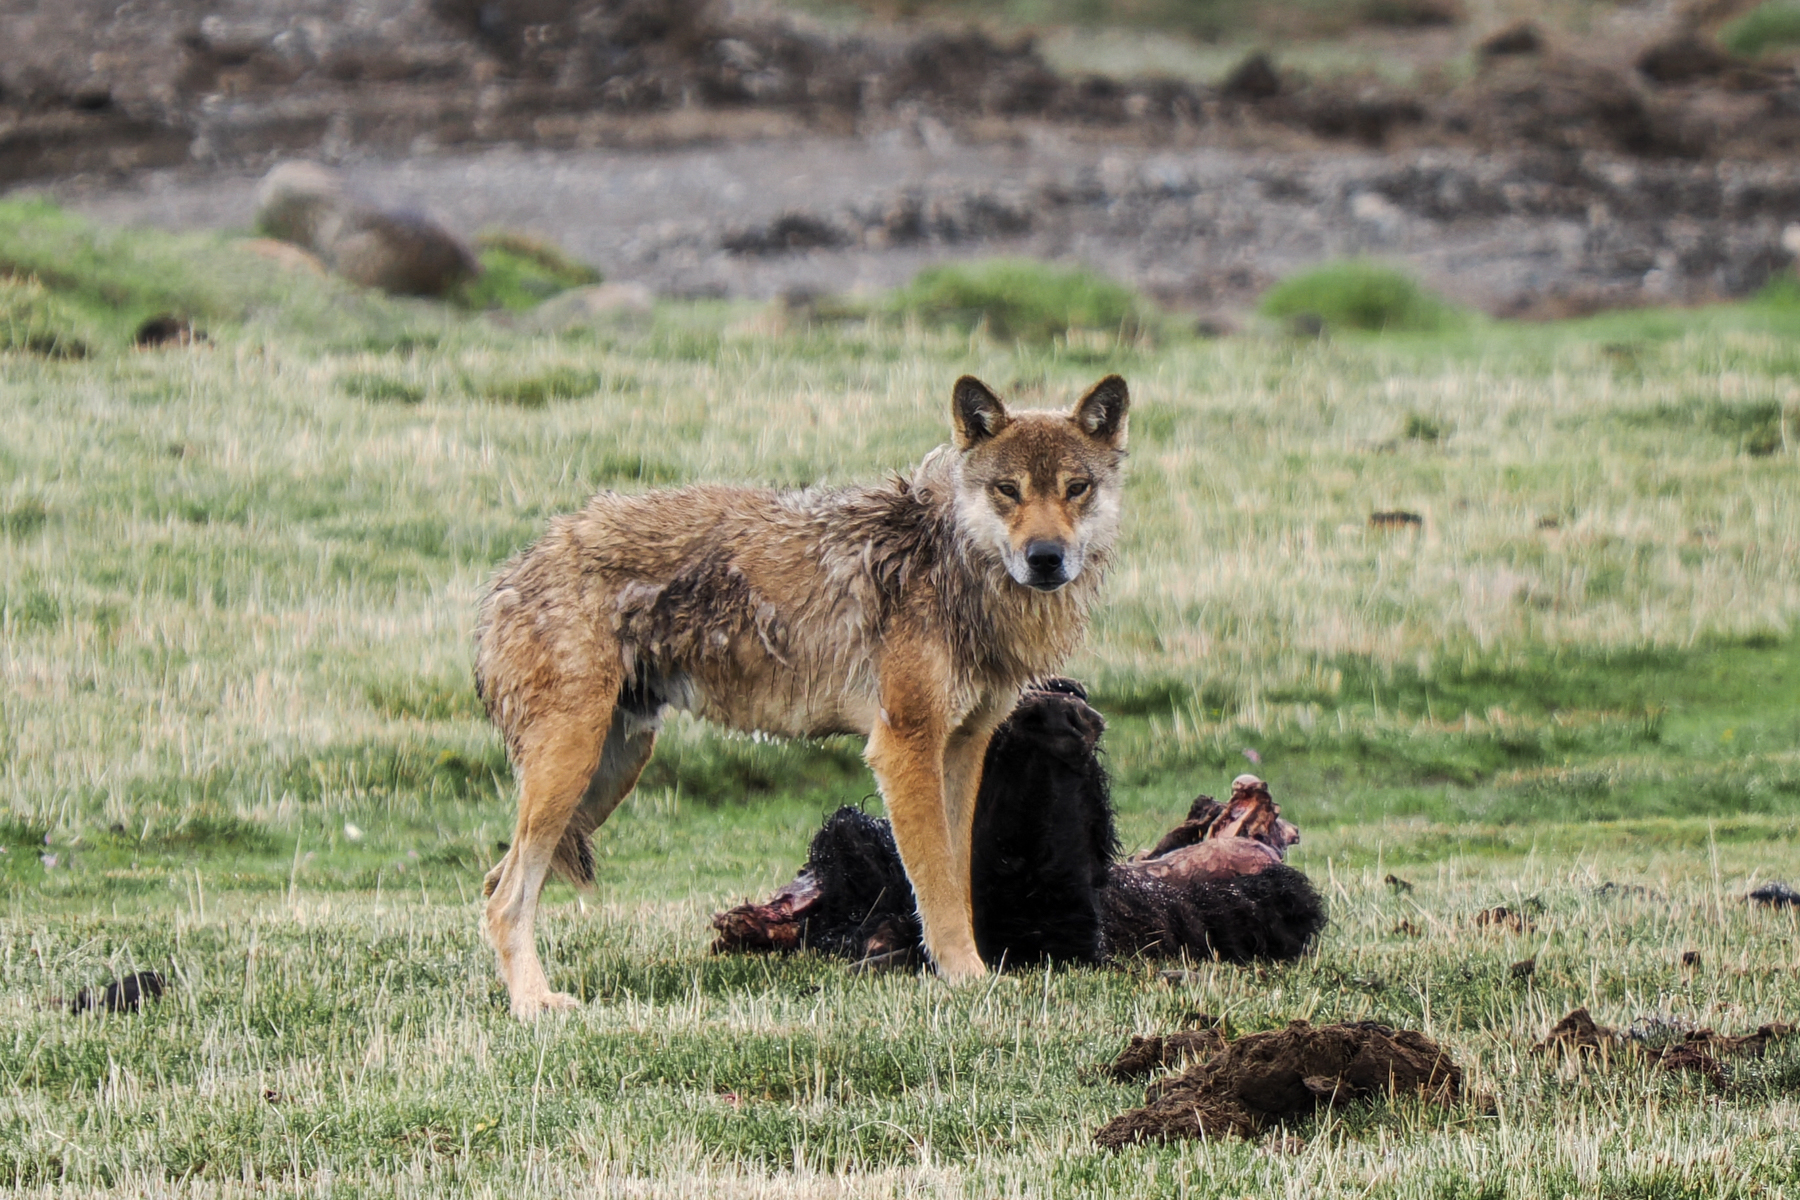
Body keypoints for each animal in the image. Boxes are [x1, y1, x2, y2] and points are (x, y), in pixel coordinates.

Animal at [474, 374, 1130, 1018]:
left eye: (1076, 489)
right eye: (1007, 490)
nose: (1045, 558)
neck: (954, 564)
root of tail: (509, 574)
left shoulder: (963, 749)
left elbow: (955, 877)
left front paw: (959, 969)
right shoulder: (903, 747)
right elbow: (937, 885)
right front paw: (969, 979)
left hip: (607, 775)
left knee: (492, 882)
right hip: (573, 771)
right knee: (505, 899)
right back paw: (534, 1004)